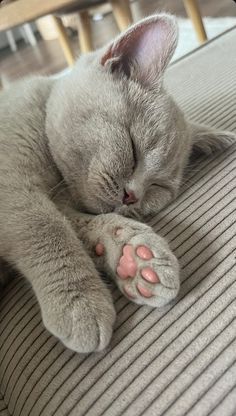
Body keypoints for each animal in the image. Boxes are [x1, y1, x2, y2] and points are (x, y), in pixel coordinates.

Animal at [0, 14, 233, 352]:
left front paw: (134, 256)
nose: (132, 195)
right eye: (133, 150)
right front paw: (80, 304)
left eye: (158, 188)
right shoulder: (13, 185)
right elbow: (45, 227)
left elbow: (86, 223)